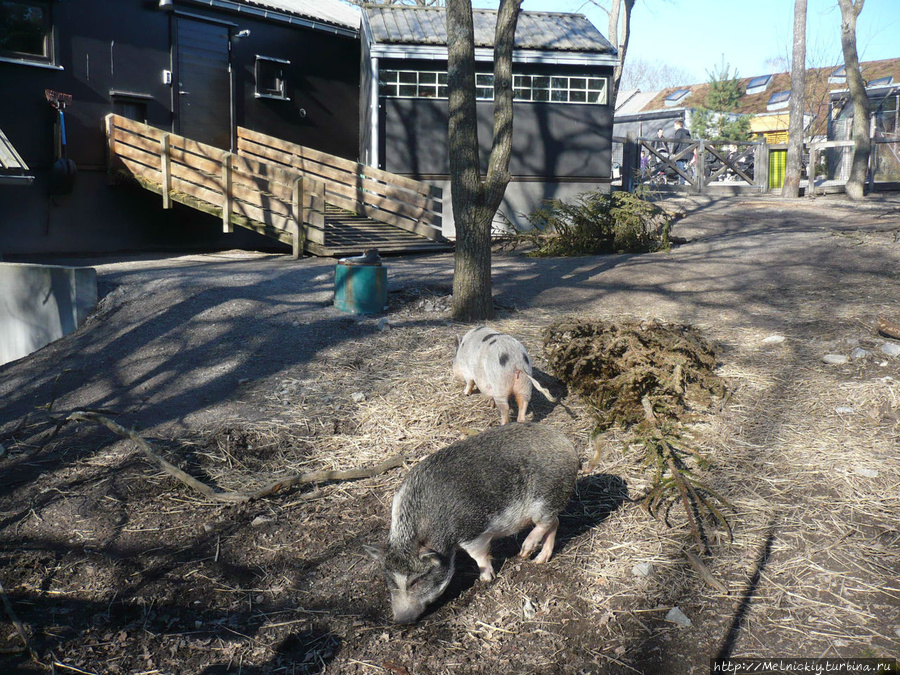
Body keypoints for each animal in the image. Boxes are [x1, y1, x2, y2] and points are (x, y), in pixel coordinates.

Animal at [364, 426, 576, 624]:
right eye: (391, 581)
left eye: (417, 580)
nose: (400, 620)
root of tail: (567, 443)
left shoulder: (474, 532)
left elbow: (478, 555)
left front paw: (486, 579)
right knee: (555, 522)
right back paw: (539, 560)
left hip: (545, 498)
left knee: (548, 523)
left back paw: (524, 553)